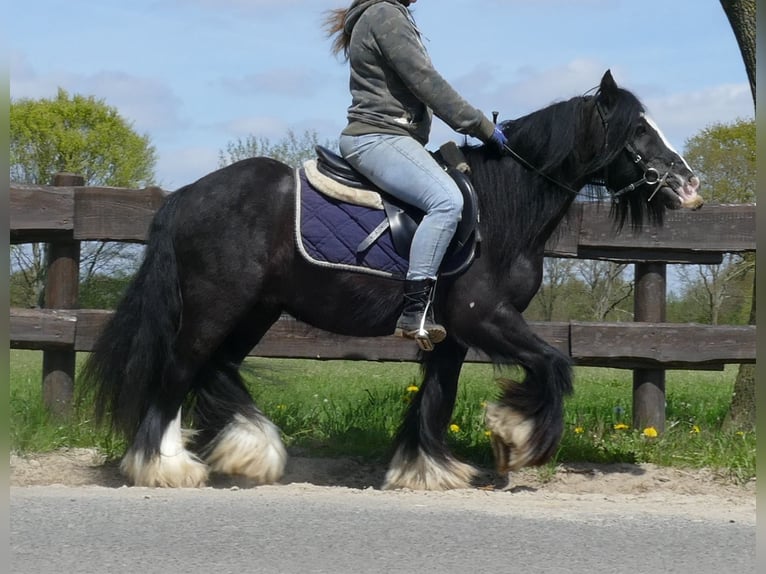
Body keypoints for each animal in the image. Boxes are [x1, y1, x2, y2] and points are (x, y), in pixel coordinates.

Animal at [82, 70, 704, 488]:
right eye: (638, 131)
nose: (690, 185)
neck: (501, 209)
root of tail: (187, 194)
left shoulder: (453, 334)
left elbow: (438, 395)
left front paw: (426, 467)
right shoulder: (485, 318)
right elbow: (554, 364)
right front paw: (514, 438)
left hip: (254, 310)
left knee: (217, 368)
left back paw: (252, 450)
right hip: (215, 306)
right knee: (180, 369)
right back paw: (165, 465)